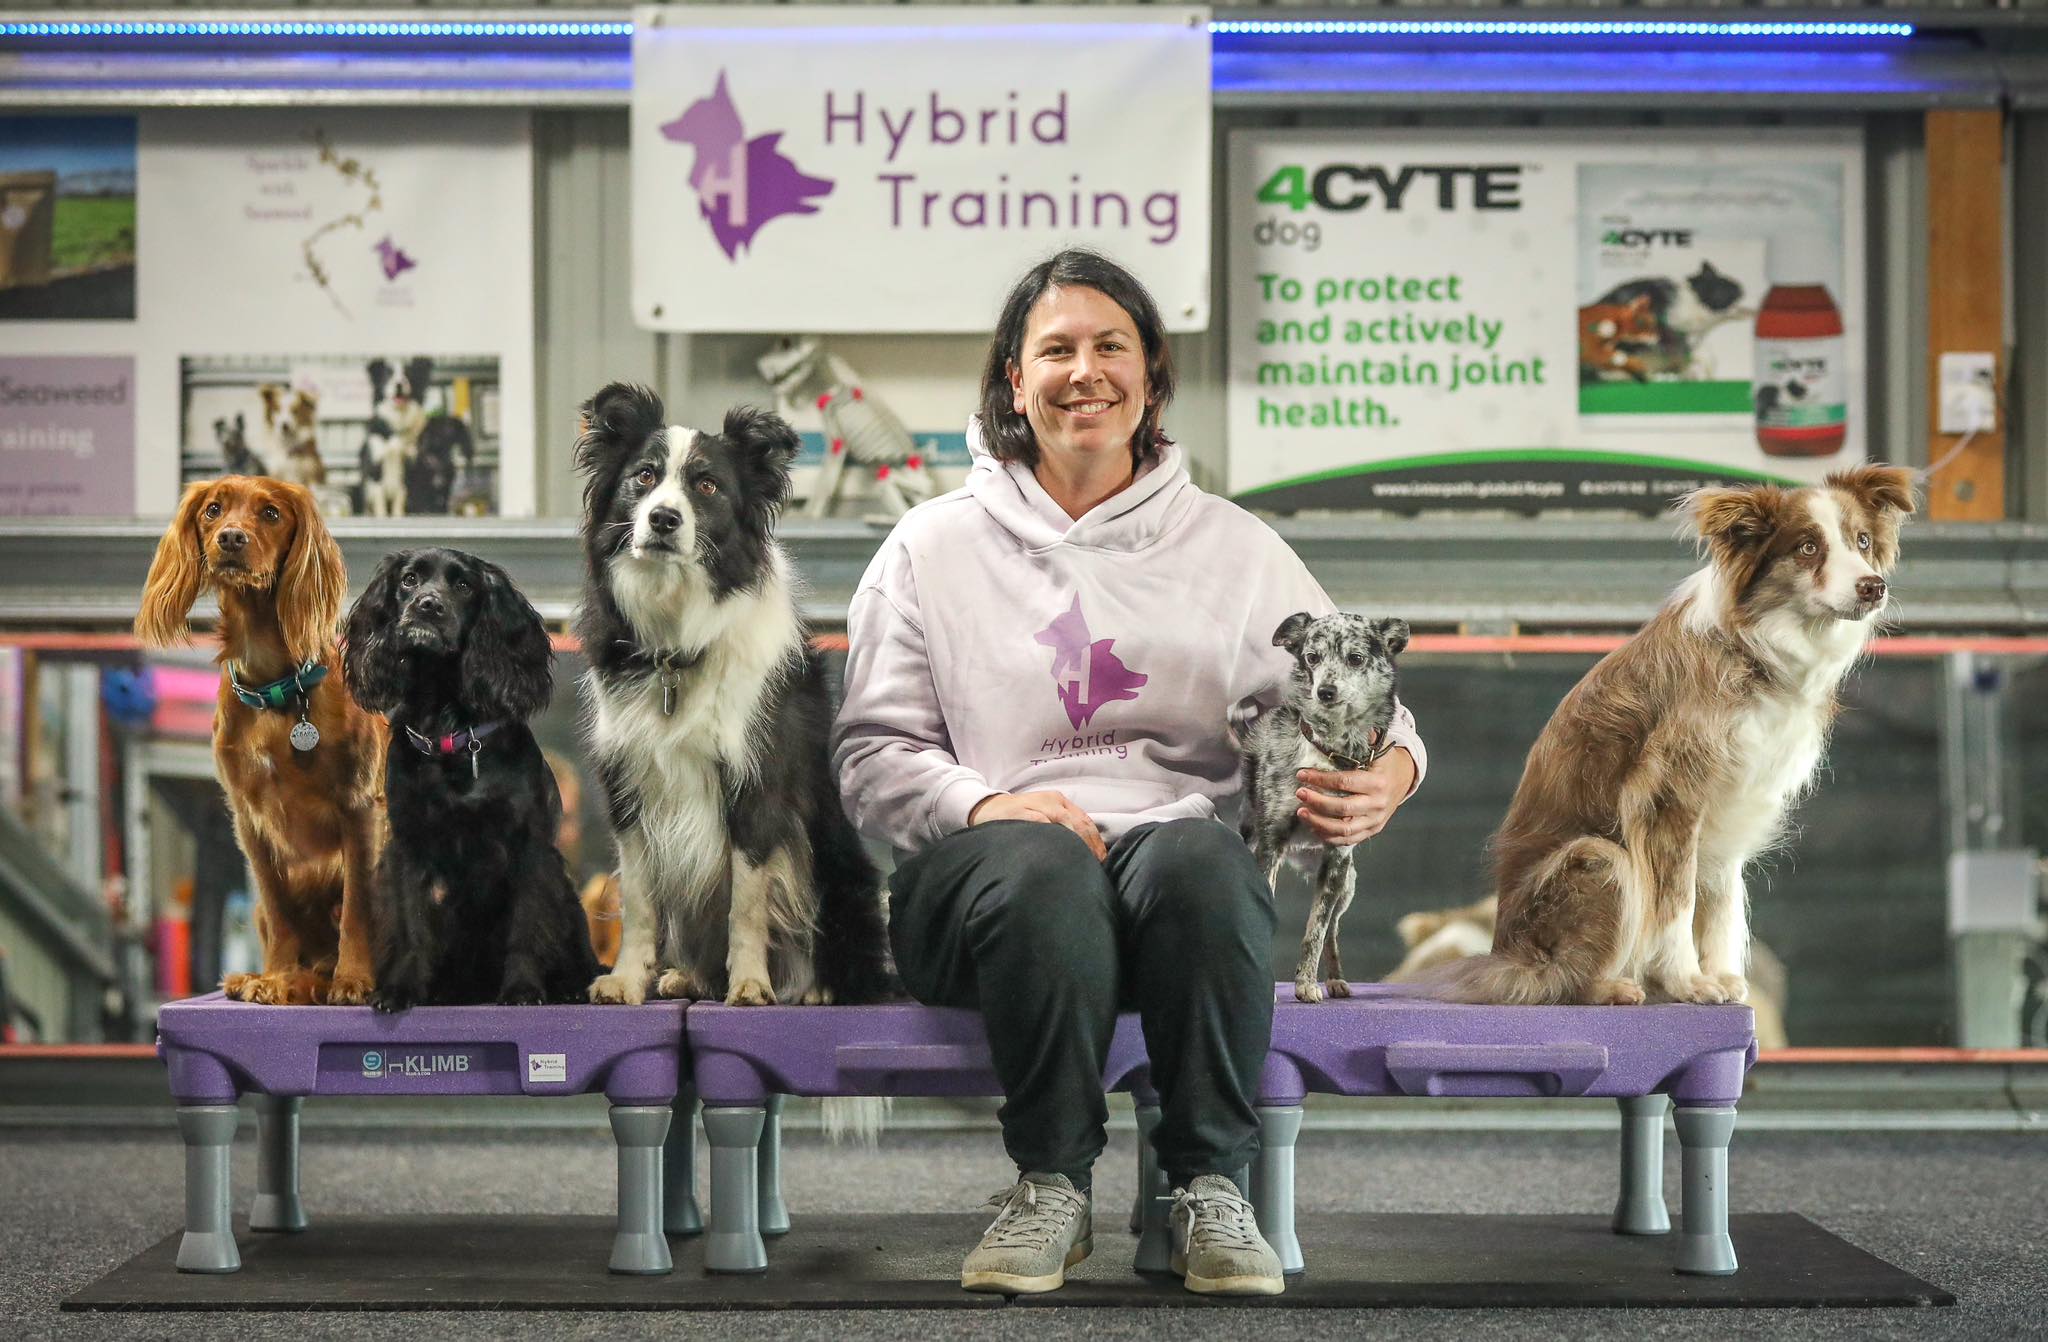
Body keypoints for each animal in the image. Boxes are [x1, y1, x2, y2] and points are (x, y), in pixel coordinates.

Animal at [344, 544, 598, 1008]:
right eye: (409, 579)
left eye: (463, 585)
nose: (427, 605)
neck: (449, 734)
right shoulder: (408, 844)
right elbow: (411, 925)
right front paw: (401, 989)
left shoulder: (530, 847)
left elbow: (526, 925)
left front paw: (522, 989)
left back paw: (571, 986)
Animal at [581, 383, 892, 1012]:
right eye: (644, 477)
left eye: (707, 486)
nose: (663, 518)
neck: (678, 640)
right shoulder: (629, 784)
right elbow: (639, 901)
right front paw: (627, 979)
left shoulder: (757, 781)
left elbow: (747, 900)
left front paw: (750, 983)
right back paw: (688, 977)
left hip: (838, 869)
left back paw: (813, 987)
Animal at [1228, 614, 1409, 1003]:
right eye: (1312, 657)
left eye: (1355, 658)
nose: (1325, 691)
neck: (1327, 748)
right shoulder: (1270, 847)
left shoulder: (1337, 859)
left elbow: (1316, 929)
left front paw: (1306, 984)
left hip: (1347, 885)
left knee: (1333, 930)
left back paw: (1336, 980)